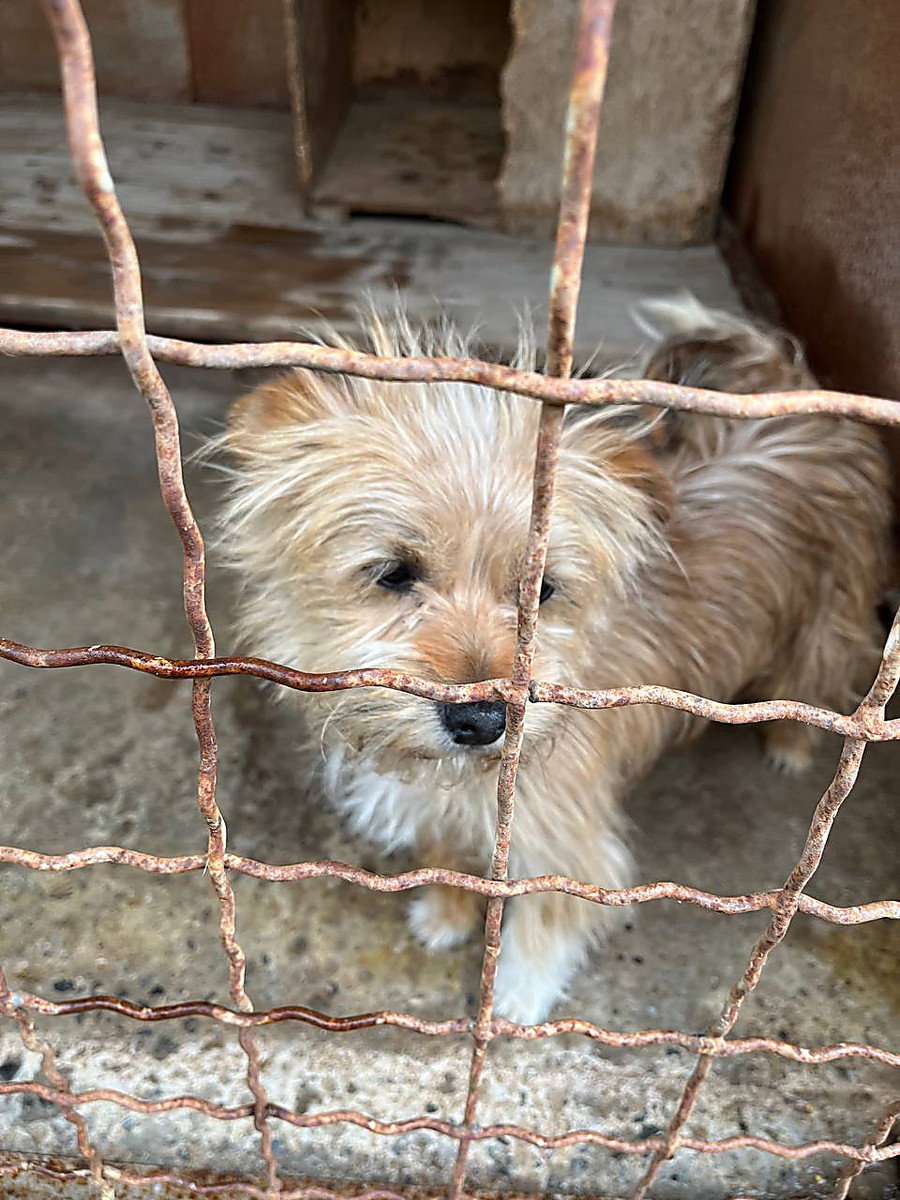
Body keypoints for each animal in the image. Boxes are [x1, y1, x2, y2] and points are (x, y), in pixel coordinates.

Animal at [214, 300, 892, 1022]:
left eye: (542, 590)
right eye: (393, 573)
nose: (483, 721)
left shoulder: (566, 844)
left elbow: (546, 923)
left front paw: (516, 997)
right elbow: (449, 854)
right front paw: (447, 912)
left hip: (829, 613)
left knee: (824, 672)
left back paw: (791, 741)